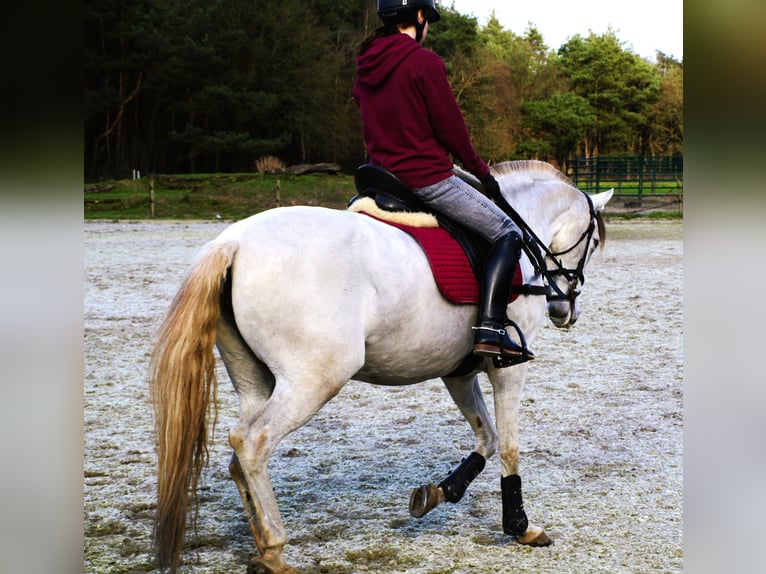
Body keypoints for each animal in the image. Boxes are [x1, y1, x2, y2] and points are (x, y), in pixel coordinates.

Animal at [150, 160, 616, 572]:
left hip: (255, 380)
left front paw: (440, 492)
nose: (563, 309)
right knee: (252, 442)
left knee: (238, 450)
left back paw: (259, 542)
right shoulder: (508, 368)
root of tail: (234, 242)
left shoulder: (459, 371)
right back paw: (274, 551)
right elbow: (509, 446)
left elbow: (486, 438)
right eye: (593, 244)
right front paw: (519, 525)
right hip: (313, 380)